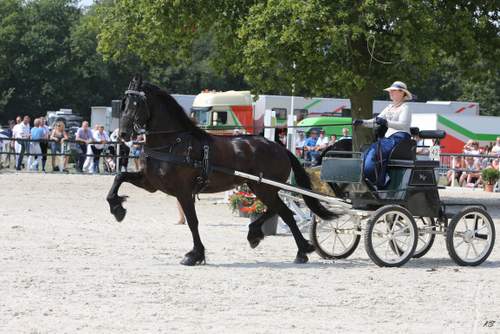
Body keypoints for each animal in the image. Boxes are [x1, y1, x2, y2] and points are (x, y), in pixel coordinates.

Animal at [108, 75, 338, 266]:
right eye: (124, 103)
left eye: (137, 103)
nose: (123, 133)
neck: (173, 142)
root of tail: (278, 147)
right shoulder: (151, 183)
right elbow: (119, 176)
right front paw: (117, 208)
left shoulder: (183, 191)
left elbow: (193, 222)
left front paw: (195, 255)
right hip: (258, 186)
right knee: (281, 211)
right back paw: (274, 241)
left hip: (264, 188)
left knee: (285, 213)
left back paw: (296, 248)